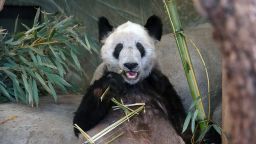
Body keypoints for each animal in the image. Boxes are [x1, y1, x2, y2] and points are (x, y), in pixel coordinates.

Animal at [72, 15, 220, 143]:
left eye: (139, 46)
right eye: (119, 47)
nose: (130, 65)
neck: (132, 85)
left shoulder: (158, 85)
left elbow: (183, 124)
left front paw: (207, 132)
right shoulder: (101, 75)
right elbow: (81, 122)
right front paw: (111, 83)